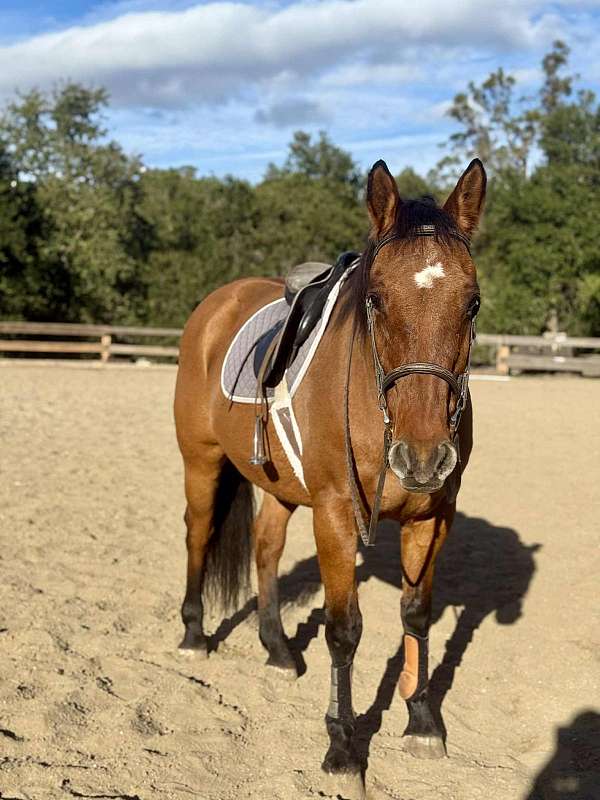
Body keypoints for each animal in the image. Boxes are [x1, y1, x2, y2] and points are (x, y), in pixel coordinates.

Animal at [174, 158, 487, 786]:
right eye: (377, 299)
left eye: (472, 303)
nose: (424, 456)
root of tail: (217, 303)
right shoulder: (337, 514)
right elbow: (344, 630)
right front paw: (343, 746)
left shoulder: (433, 516)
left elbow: (417, 614)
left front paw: (422, 722)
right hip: (201, 461)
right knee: (199, 534)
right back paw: (194, 633)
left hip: (280, 488)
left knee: (265, 548)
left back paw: (276, 648)